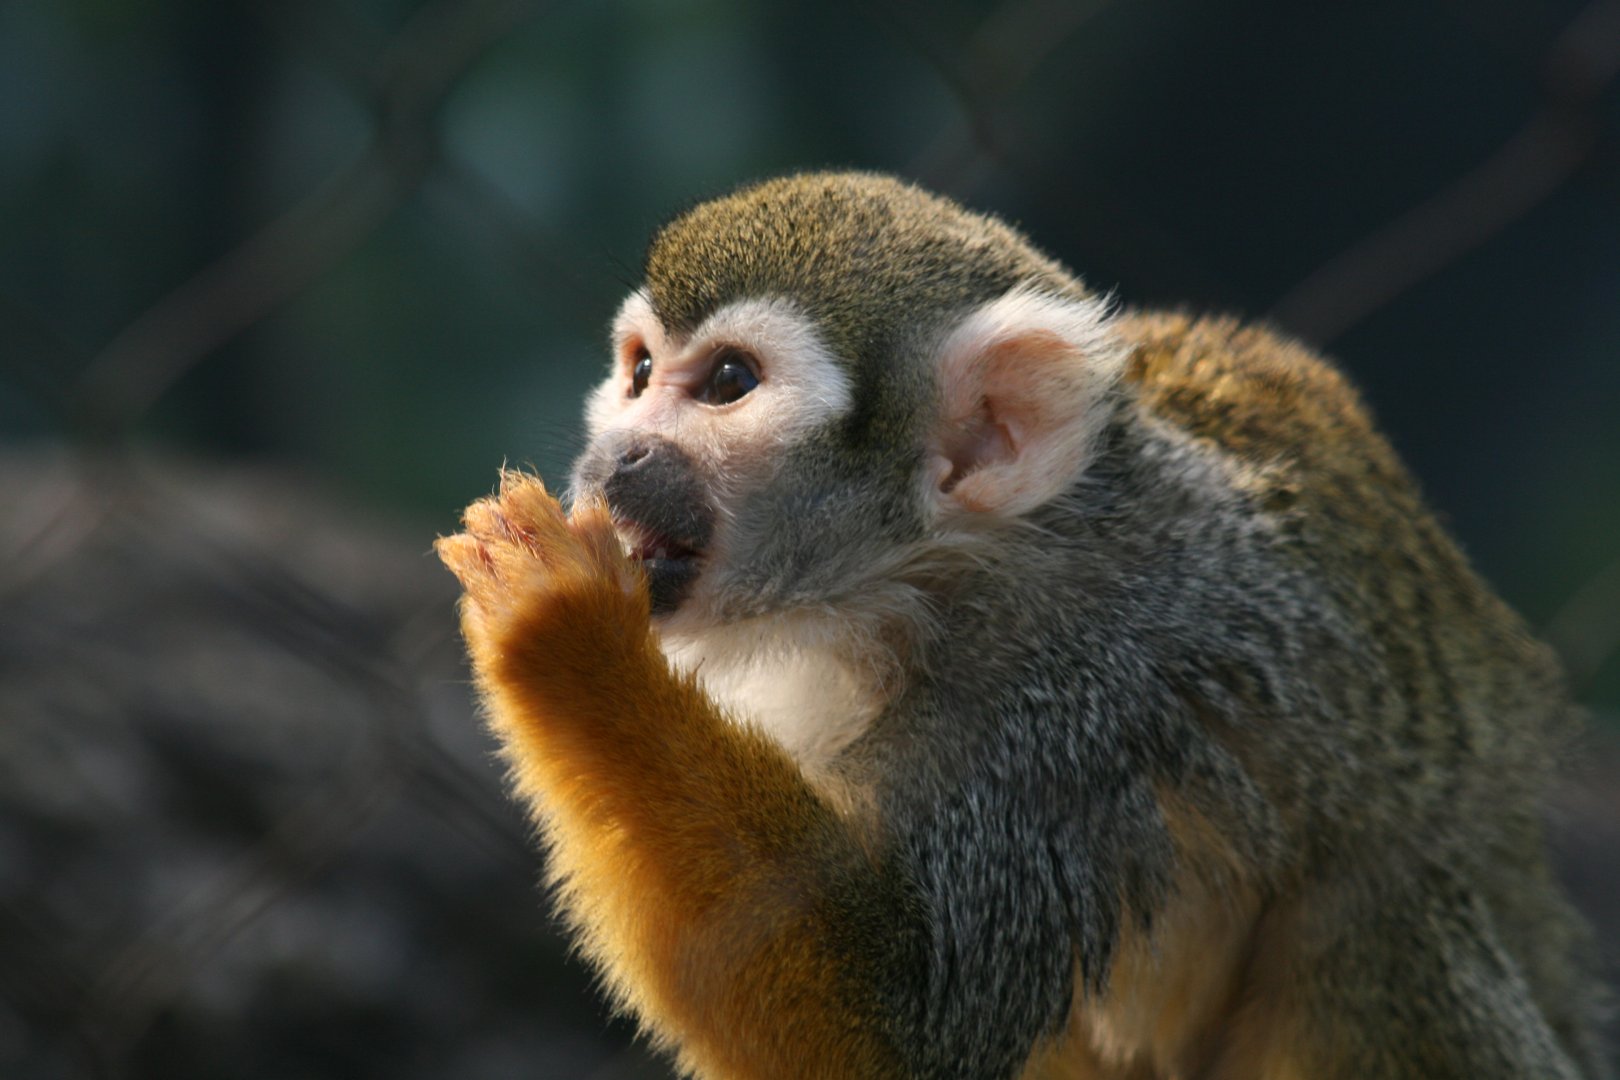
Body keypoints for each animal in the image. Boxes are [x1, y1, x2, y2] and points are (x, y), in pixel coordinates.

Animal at [435, 172, 1611, 1079]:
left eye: (727, 383)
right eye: (638, 373)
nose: (617, 455)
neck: (906, 588)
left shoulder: (1069, 696)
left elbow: (902, 1021)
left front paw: (569, 635)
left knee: (1379, 926)